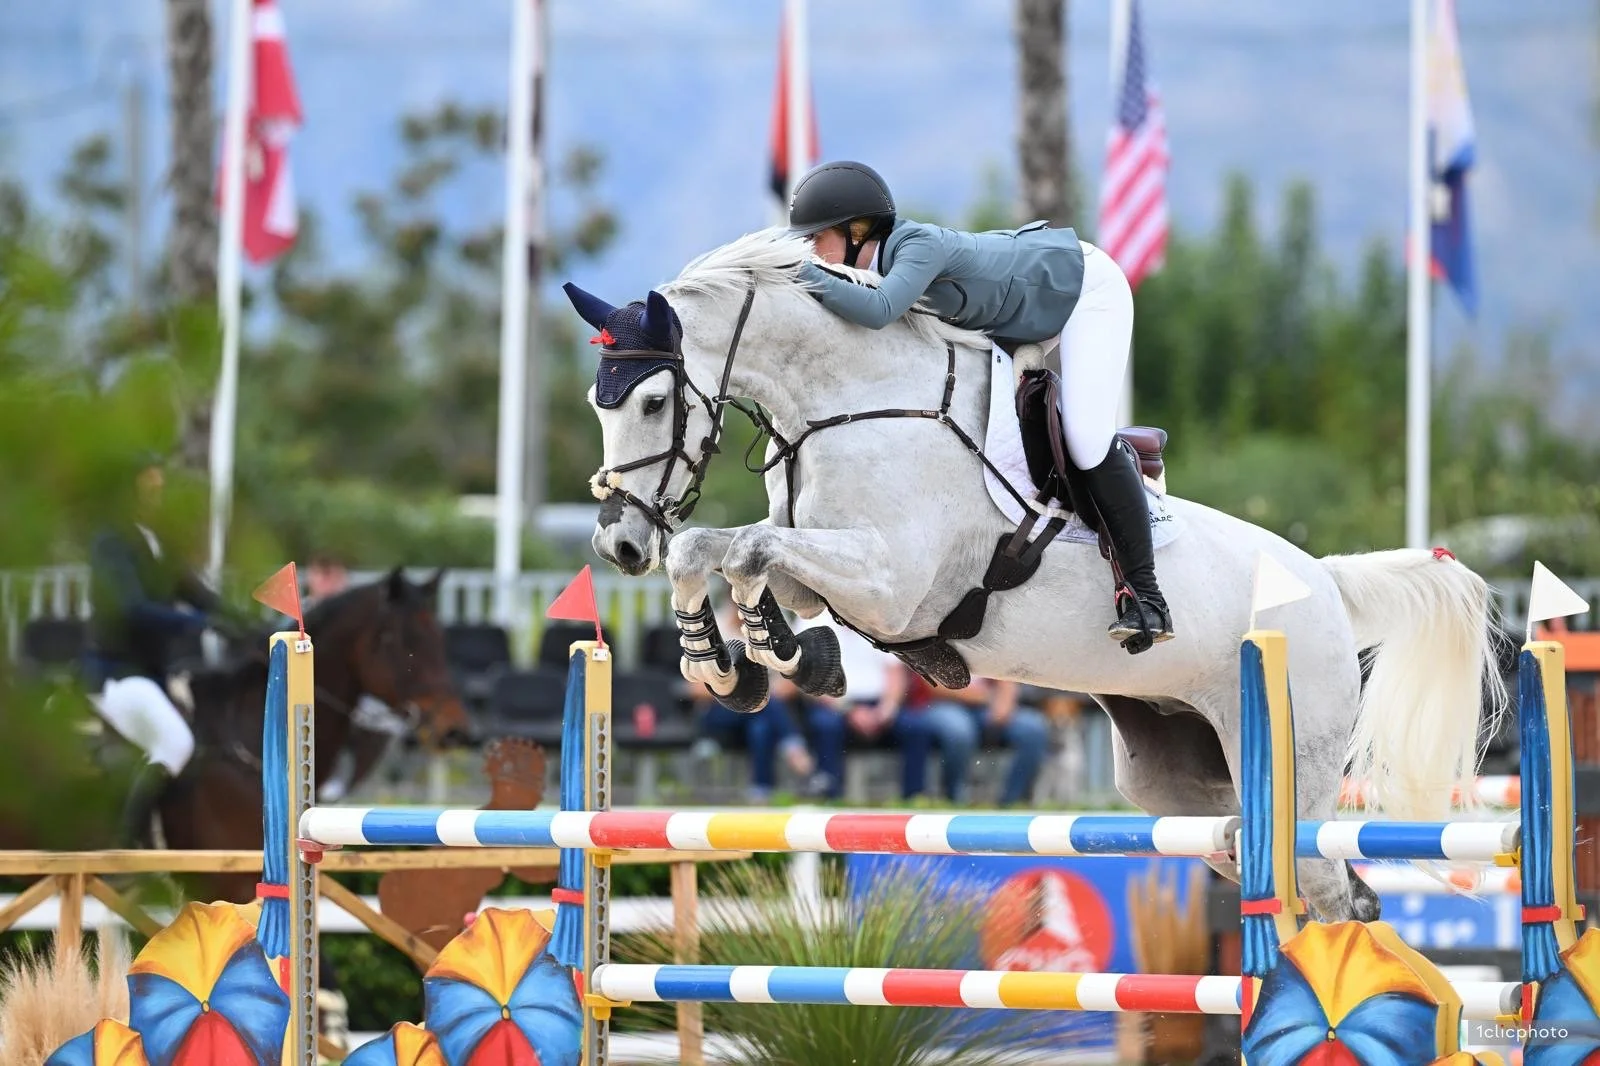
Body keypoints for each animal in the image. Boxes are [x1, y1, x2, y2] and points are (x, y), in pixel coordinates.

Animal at [562, 228, 1506, 925]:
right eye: (597, 406)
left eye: (653, 401)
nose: (619, 547)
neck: (852, 403)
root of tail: (1326, 583)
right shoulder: (831, 563)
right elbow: (725, 554)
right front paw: (745, 663)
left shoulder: (893, 580)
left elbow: (747, 553)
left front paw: (763, 658)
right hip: (1181, 781)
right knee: (1294, 871)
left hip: (1297, 756)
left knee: (1323, 890)